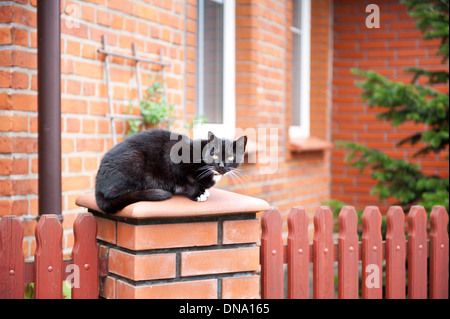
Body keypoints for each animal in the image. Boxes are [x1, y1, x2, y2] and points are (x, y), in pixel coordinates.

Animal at [95, 129, 248, 215]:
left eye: (230, 157)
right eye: (214, 155)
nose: (221, 166)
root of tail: (98, 186)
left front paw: (203, 190)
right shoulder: (177, 159)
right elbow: (189, 181)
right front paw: (198, 194)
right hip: (134, 159)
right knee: (114, 193)